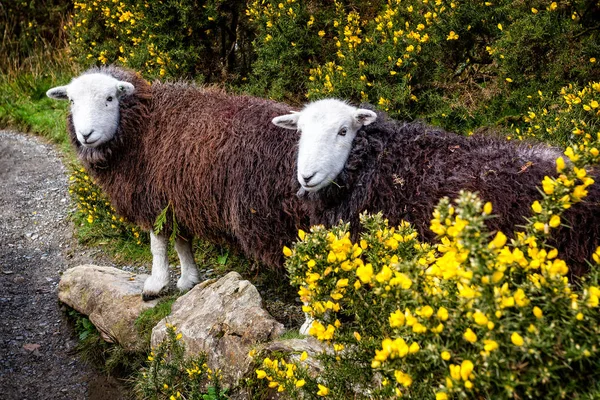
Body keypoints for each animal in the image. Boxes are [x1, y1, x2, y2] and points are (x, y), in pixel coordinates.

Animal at [46, 65, 310, 298]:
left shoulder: (154, 199)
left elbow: (158, 246)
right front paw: (188, 280)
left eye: (110, 98)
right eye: (72, 101)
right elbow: (182, 243)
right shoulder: (177, 199)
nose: (85, 135)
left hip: (277, 219)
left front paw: (156, 284)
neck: (142, 125)